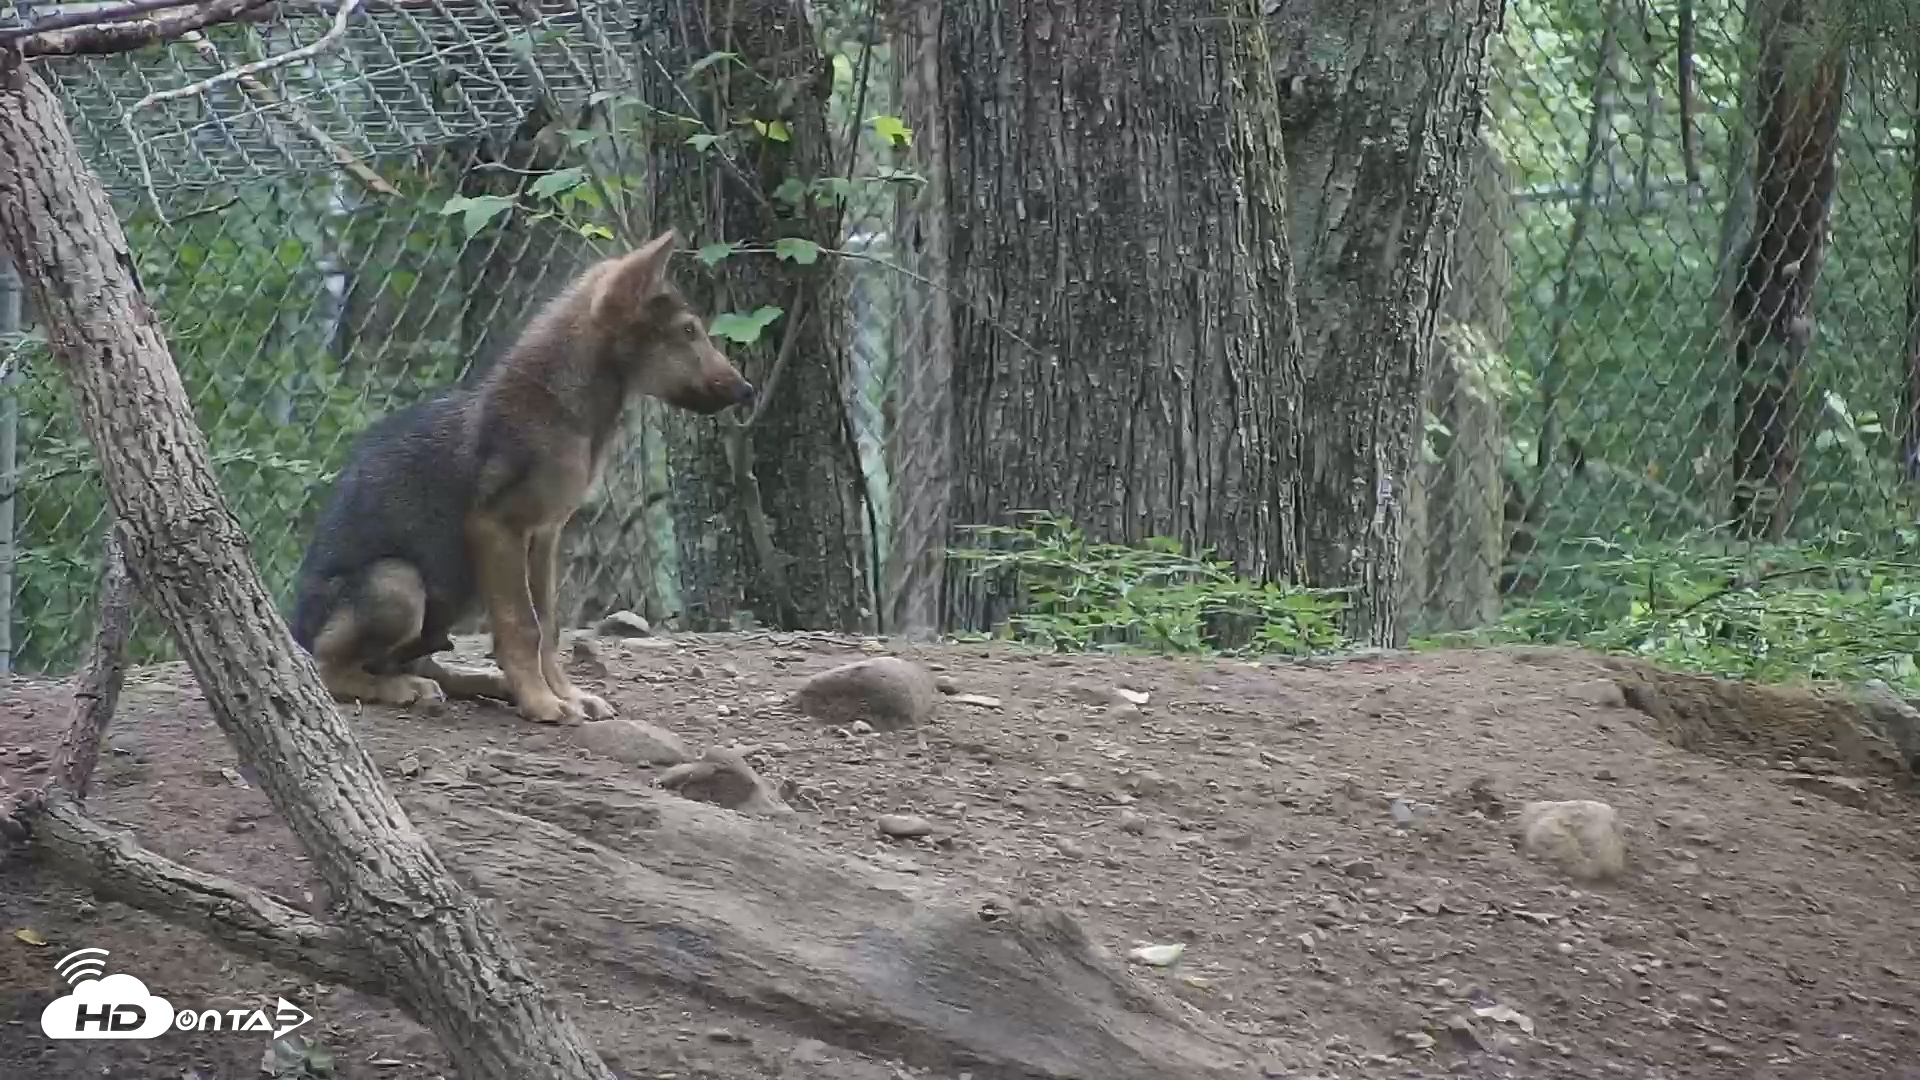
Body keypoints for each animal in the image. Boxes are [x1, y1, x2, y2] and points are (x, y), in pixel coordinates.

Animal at [288, 230, 751, 724]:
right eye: (689, 330)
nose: (747, 390)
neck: (568, 412)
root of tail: (293, 627)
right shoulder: (497, 527)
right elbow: (522, 626)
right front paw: (542, 702)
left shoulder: (546, 533)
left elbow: (548, 626)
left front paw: (566, 695)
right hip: (399, 583)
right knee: (327, 667)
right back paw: (404, 688)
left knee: (427, 664)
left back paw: (477, 684)